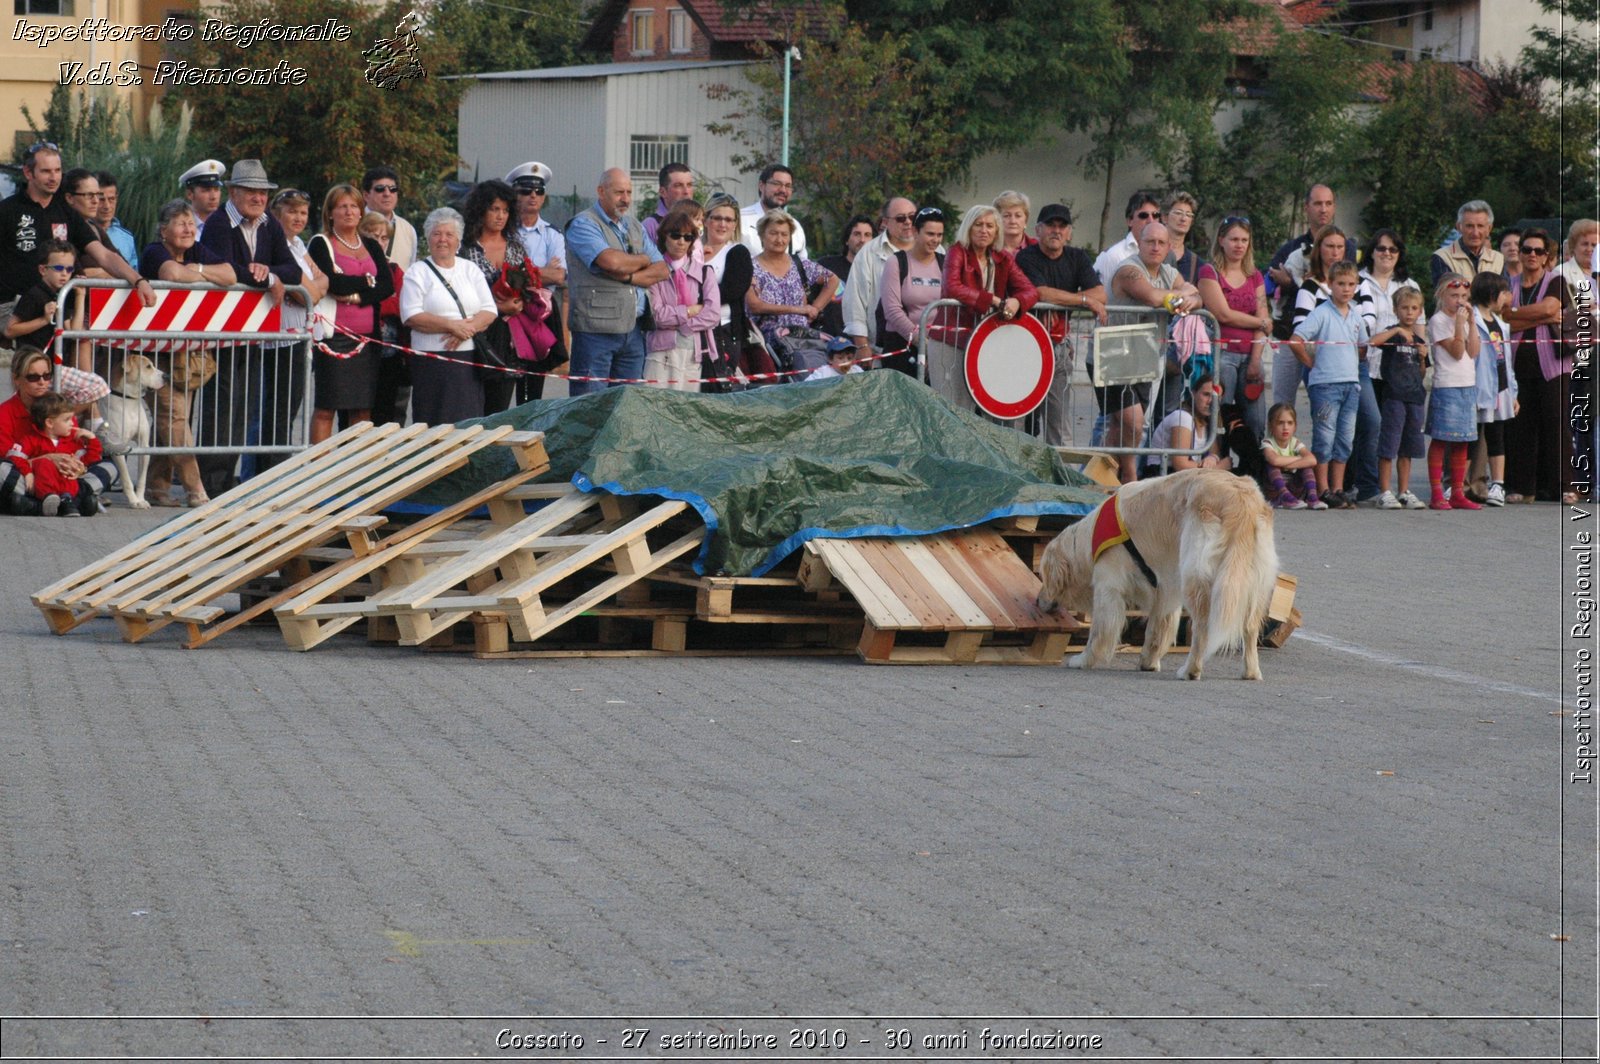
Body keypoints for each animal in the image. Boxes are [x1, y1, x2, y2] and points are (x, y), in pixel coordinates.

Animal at [100, 352, 164, 512]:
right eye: (148, 367)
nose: (167, 376)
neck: (129, 403)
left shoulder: (144, 446)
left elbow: (142, 478)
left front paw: (141, 500)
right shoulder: (118, 449)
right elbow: (126, 479)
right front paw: (134, 501)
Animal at [1036, 467, 1273, 681]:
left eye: (1043, 578)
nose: (1037, 601)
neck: (1089, 538)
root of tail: (1240, 498)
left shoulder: (1108, 587)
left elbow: (1098, 632)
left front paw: (1083, 660)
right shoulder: (1165, 590)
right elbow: (1156, 629)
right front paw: (1148, 662)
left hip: (1196, 574)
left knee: (1202, 627)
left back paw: (1190, 670)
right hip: (1252, 581)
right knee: (1250, 626)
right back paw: (1250, 672)